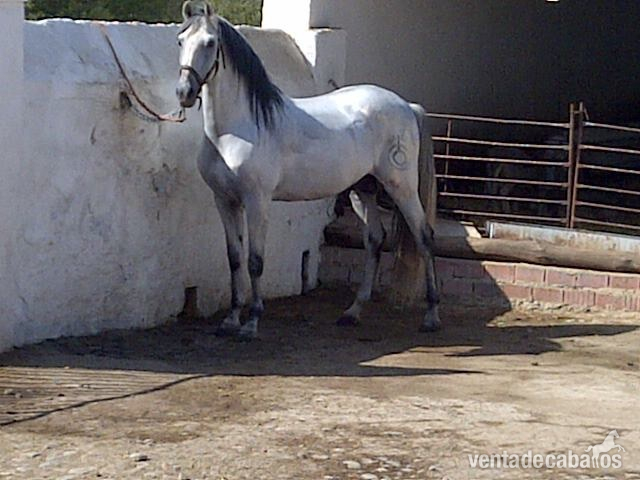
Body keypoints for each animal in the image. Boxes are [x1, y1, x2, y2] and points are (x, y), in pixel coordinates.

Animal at [174, 0, 440, 340]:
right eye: (181, 41)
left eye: (209, 43)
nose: (184, 92)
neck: (234, 130)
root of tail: (407, 106)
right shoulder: (224, 200)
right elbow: (234, 260)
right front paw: (230, 320)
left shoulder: (257, 201)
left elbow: (255, 261)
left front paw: (251, 323)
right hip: (362, 190)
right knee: (374, 240)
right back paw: (352, 312)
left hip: (401, 187)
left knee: (424, 237)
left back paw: (431, 317)